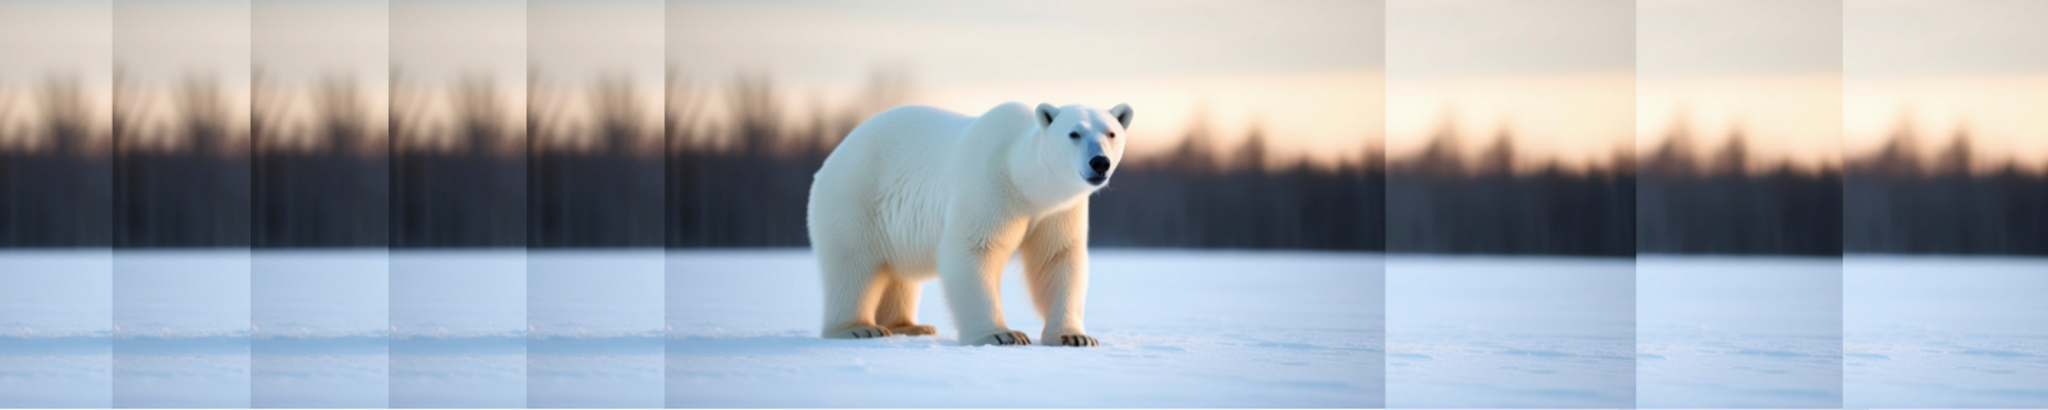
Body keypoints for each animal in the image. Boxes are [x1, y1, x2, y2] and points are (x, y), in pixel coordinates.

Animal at [806, 101, 1131, 347]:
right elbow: (974, 249)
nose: (1099, 162)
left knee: (898, 272)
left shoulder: (1056, 211)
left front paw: (1074, 337)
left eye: (1111, 133)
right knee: (853, 263)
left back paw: (911, 326)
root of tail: (831, 158)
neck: (1023, 180)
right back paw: (858, 327)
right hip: (855, 198)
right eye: (1074, 133)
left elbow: (1057, 258)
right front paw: (1001, 334)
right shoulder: (988, 185)